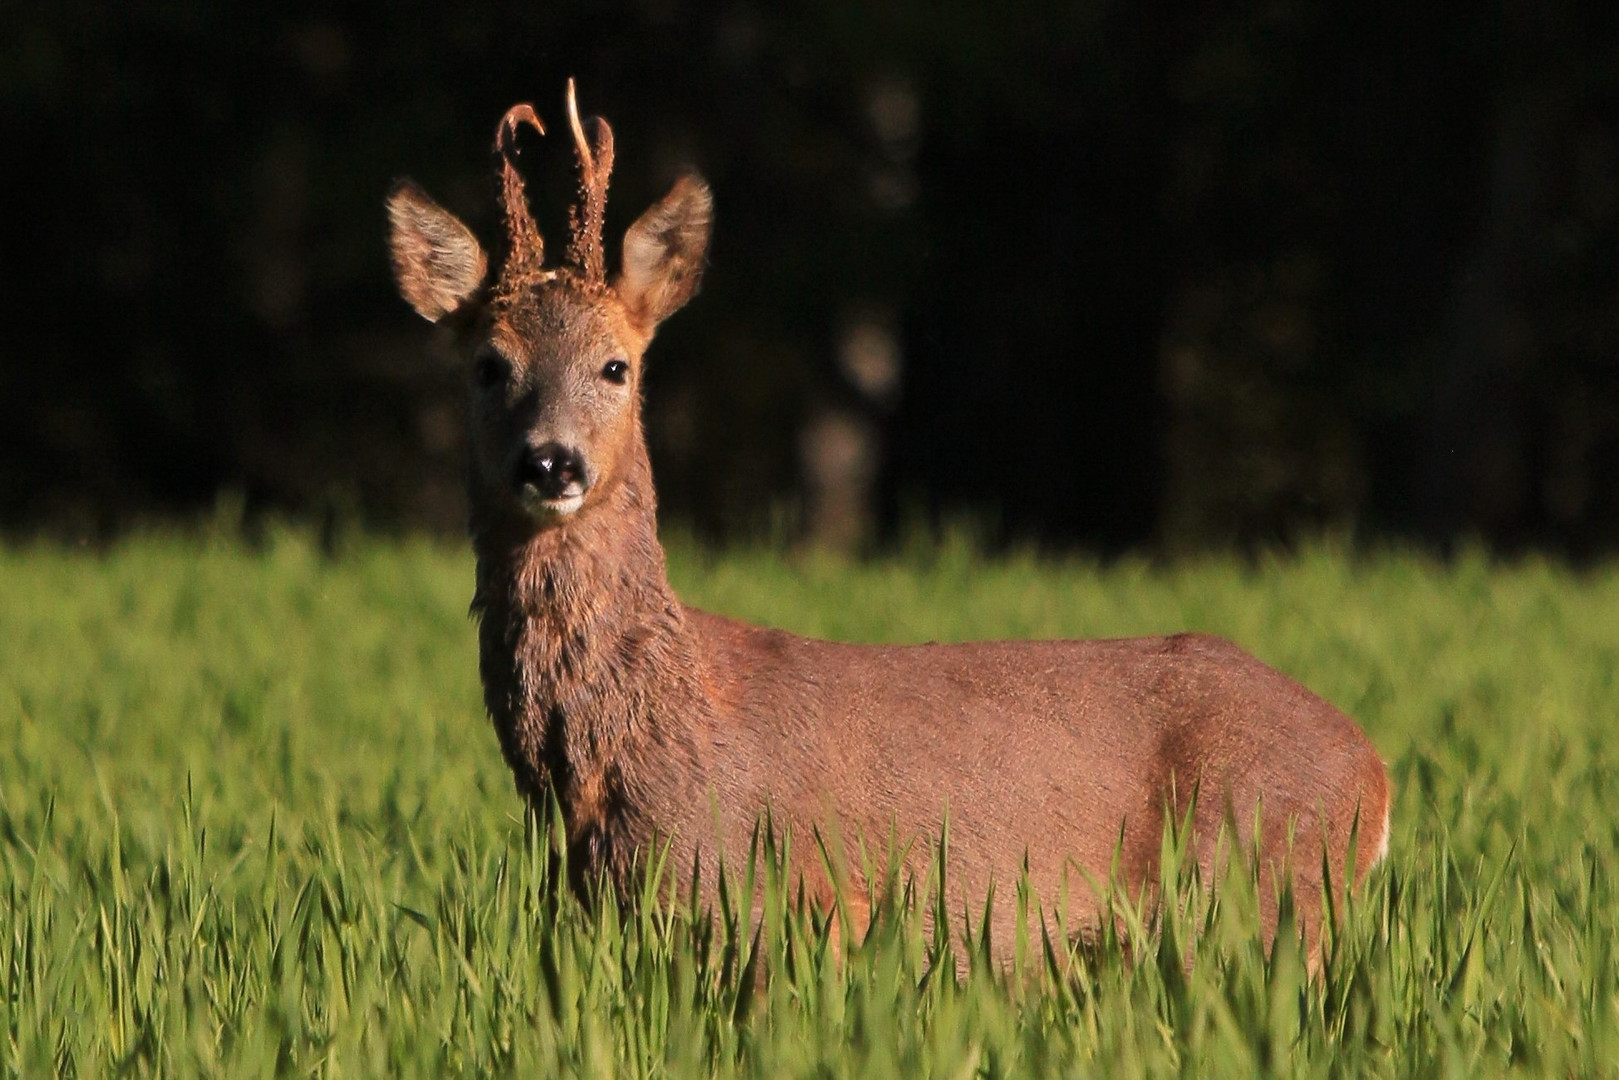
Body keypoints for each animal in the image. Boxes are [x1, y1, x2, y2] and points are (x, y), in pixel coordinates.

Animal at [385, 82, 1385, 965]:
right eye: (488, 364)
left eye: (616, 366)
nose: (551, 463)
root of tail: (1371, 774)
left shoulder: (784, 905)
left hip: (1262, 892)